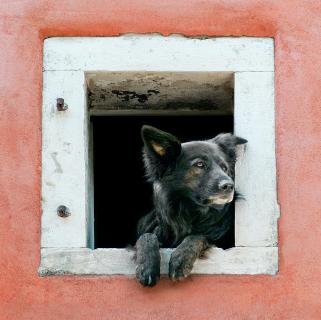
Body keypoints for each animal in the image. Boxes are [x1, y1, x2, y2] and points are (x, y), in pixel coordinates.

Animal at [134, 124, 246, 284]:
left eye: (224, 168)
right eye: (199, 164)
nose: (229, 186)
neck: (190, 211)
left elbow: (198, 236)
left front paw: (180, 259)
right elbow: (146, 236)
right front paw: (146, 266)